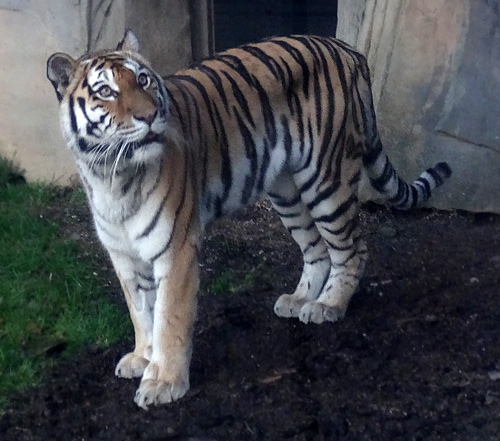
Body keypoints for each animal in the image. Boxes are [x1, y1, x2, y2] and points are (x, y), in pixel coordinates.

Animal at [47, 31, 454, 408]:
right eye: (105, 91)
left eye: (143, 80)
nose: (148, 117)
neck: (111, 175)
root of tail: (348, 49)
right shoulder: (124, 256)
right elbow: (140, 312)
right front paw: (142, 358)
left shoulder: (176, 250)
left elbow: (169, 318)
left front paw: (163, 381)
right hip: (286, 190)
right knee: (317, 249)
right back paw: (299, 299)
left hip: (327, 179)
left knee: (353, 249)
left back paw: (328, 305)